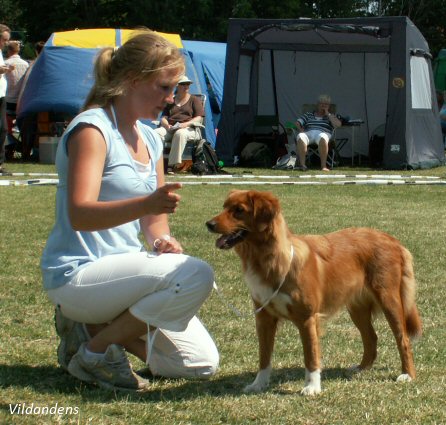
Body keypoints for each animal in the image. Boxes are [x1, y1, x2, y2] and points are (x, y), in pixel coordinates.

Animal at [206, 189, 422, 394]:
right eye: (224, 207)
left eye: (239, 210)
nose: (208, 224)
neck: (269, 260)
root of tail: (392, 239)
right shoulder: (264, 318)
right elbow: (264, 357)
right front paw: (258, 384)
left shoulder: (307, 318)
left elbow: (311, 357)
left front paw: (312, 387)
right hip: (357, 308)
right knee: (371, 337)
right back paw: (361, 368)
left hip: (389, 300)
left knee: (403, 339)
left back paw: (407, 374)